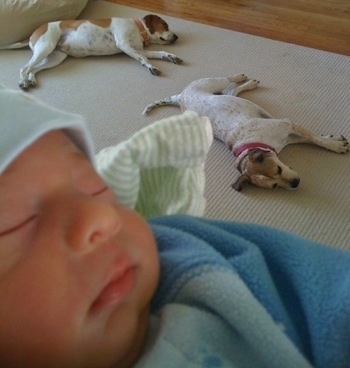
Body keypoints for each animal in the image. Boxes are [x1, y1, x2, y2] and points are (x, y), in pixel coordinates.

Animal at [1, 14, 183, 90]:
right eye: (165, 25)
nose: (176, 37)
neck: (139, 29)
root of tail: (33, 32)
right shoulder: (125, 45)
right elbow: (144, 59)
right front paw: (152, 67)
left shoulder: (136, 49)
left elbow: (158, 52)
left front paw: (171, 56)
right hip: (46, 46)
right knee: (25, 68)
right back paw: (23, 82)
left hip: (55, 57)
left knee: (34, 69)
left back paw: (31, 79)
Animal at [144, 74, 348, 190]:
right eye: (274, 186)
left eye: (278, 169)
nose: (296, 184)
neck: (252, 144)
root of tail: (179, 98)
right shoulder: (288, 135)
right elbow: (310, 138)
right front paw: (335, 141)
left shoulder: (288, 125)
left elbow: (315, 139)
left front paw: (335, 144)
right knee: (232, 91)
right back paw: (248, 84)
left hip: (212, 83)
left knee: (228, 81)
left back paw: (242, 77)